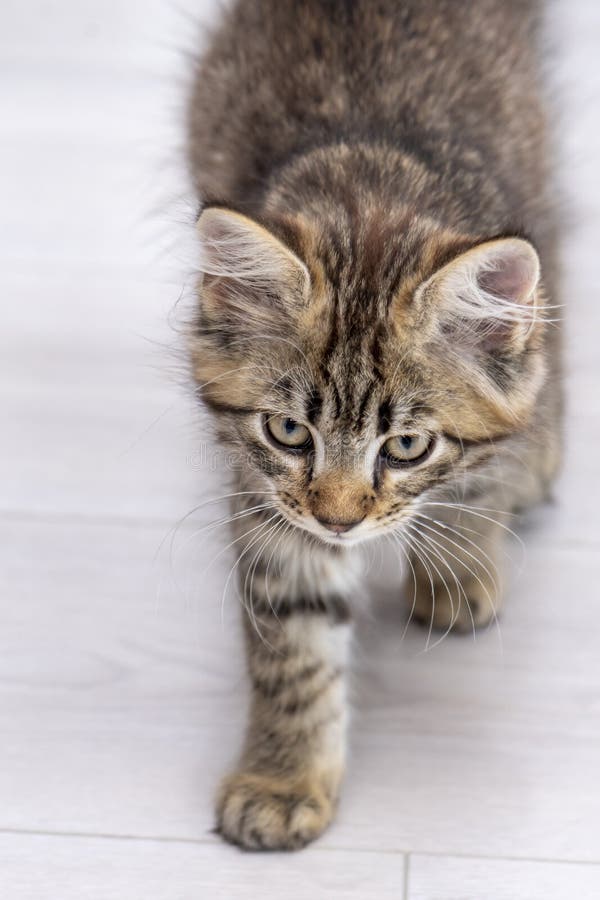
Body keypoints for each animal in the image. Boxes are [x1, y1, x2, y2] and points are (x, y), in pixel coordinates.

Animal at [186, 0, 564, 852]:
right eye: (290, 433)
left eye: (406, 446)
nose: (340, 522)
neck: (370, 197)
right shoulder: (268, 499)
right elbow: (295, 649)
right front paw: (284, 779)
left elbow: (481, 476)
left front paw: (456, 569)